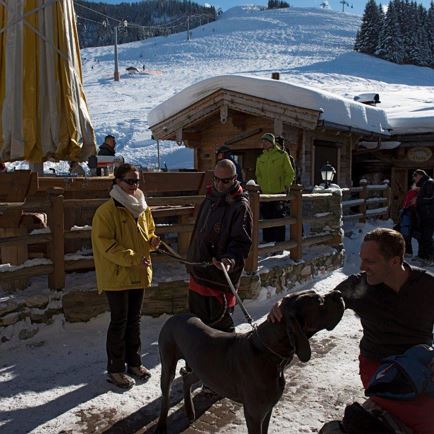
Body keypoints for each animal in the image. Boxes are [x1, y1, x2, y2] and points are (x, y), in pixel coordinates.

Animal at [154, 288, 344, 434]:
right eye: (320, 302)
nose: (339, 293)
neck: (269, 353)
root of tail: (175, 316)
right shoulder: (254, 414)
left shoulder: (267, 410)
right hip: (169, 363)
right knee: (166, 396)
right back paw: (162, 425)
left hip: (203, 369)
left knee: (187, 377)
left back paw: (190, 411)